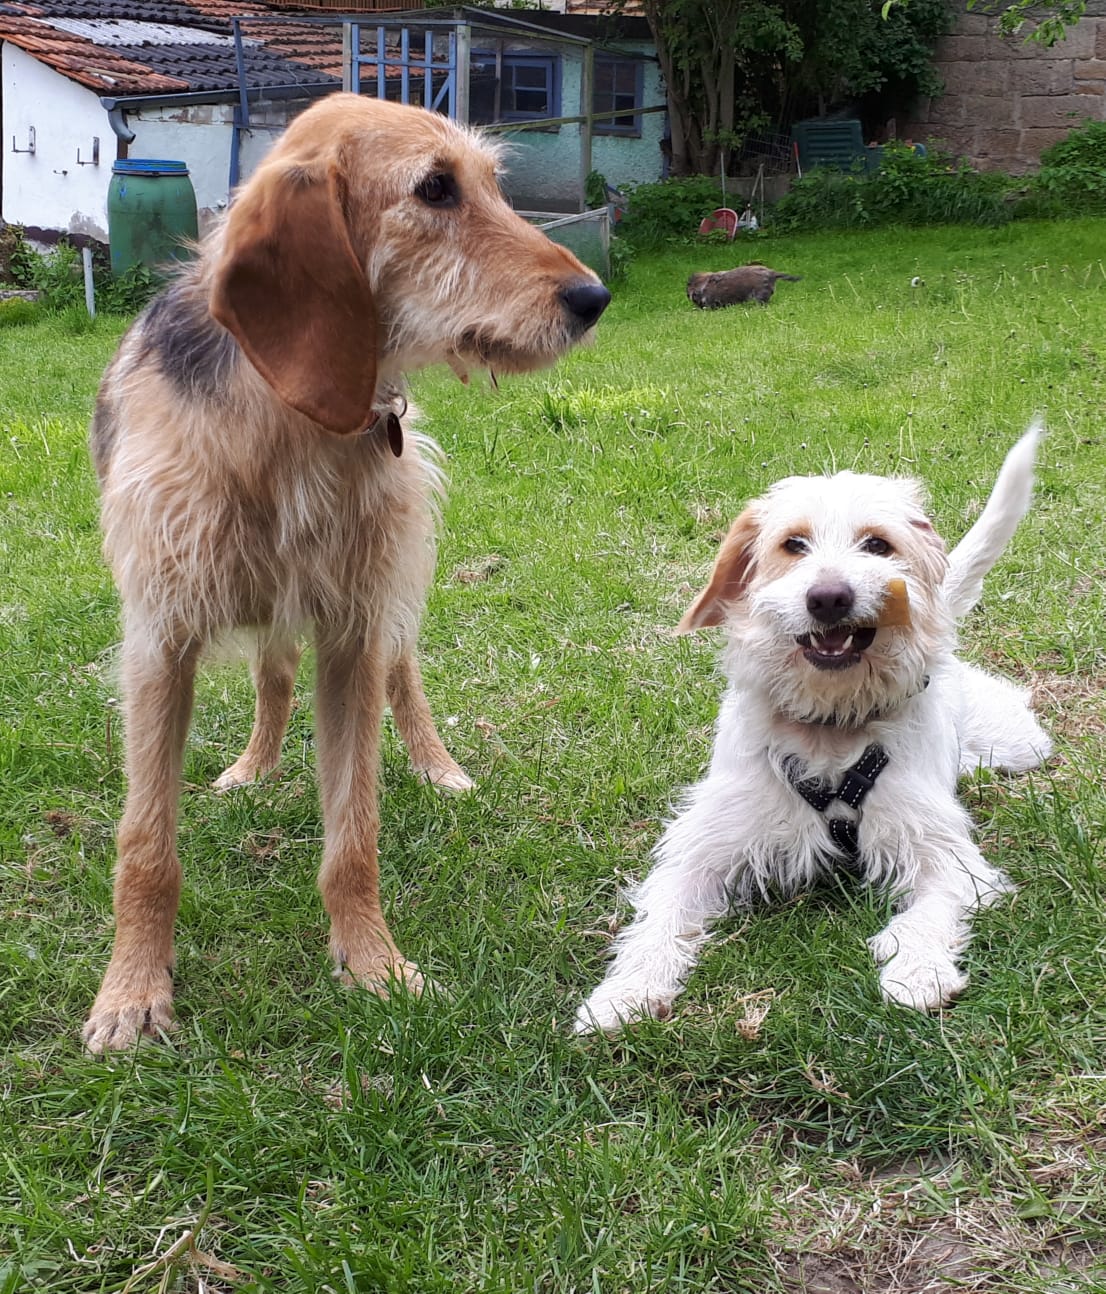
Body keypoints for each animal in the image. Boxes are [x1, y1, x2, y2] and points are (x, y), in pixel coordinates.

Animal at [83, 93, 610, 1053]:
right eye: (435, 189)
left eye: (490, 183)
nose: (594, 297)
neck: (290, 416)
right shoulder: (160, 641)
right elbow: (145, 845)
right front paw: (133, 991)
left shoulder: (353, 636)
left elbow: (353, 835)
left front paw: (372, 964)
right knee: (272, 677)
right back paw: (252, 768)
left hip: (391, 589)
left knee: (406, 675)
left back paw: (438, 766)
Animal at [576, 426, 1050, 1033]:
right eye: (793, 544)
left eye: (878, 544)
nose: (828, 597)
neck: (830, 724)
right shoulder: (706, 844)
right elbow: (662, 916)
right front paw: (624, 992)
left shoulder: (943, 853)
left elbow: (931, 909)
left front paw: (917, 969)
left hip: (1015, 744)